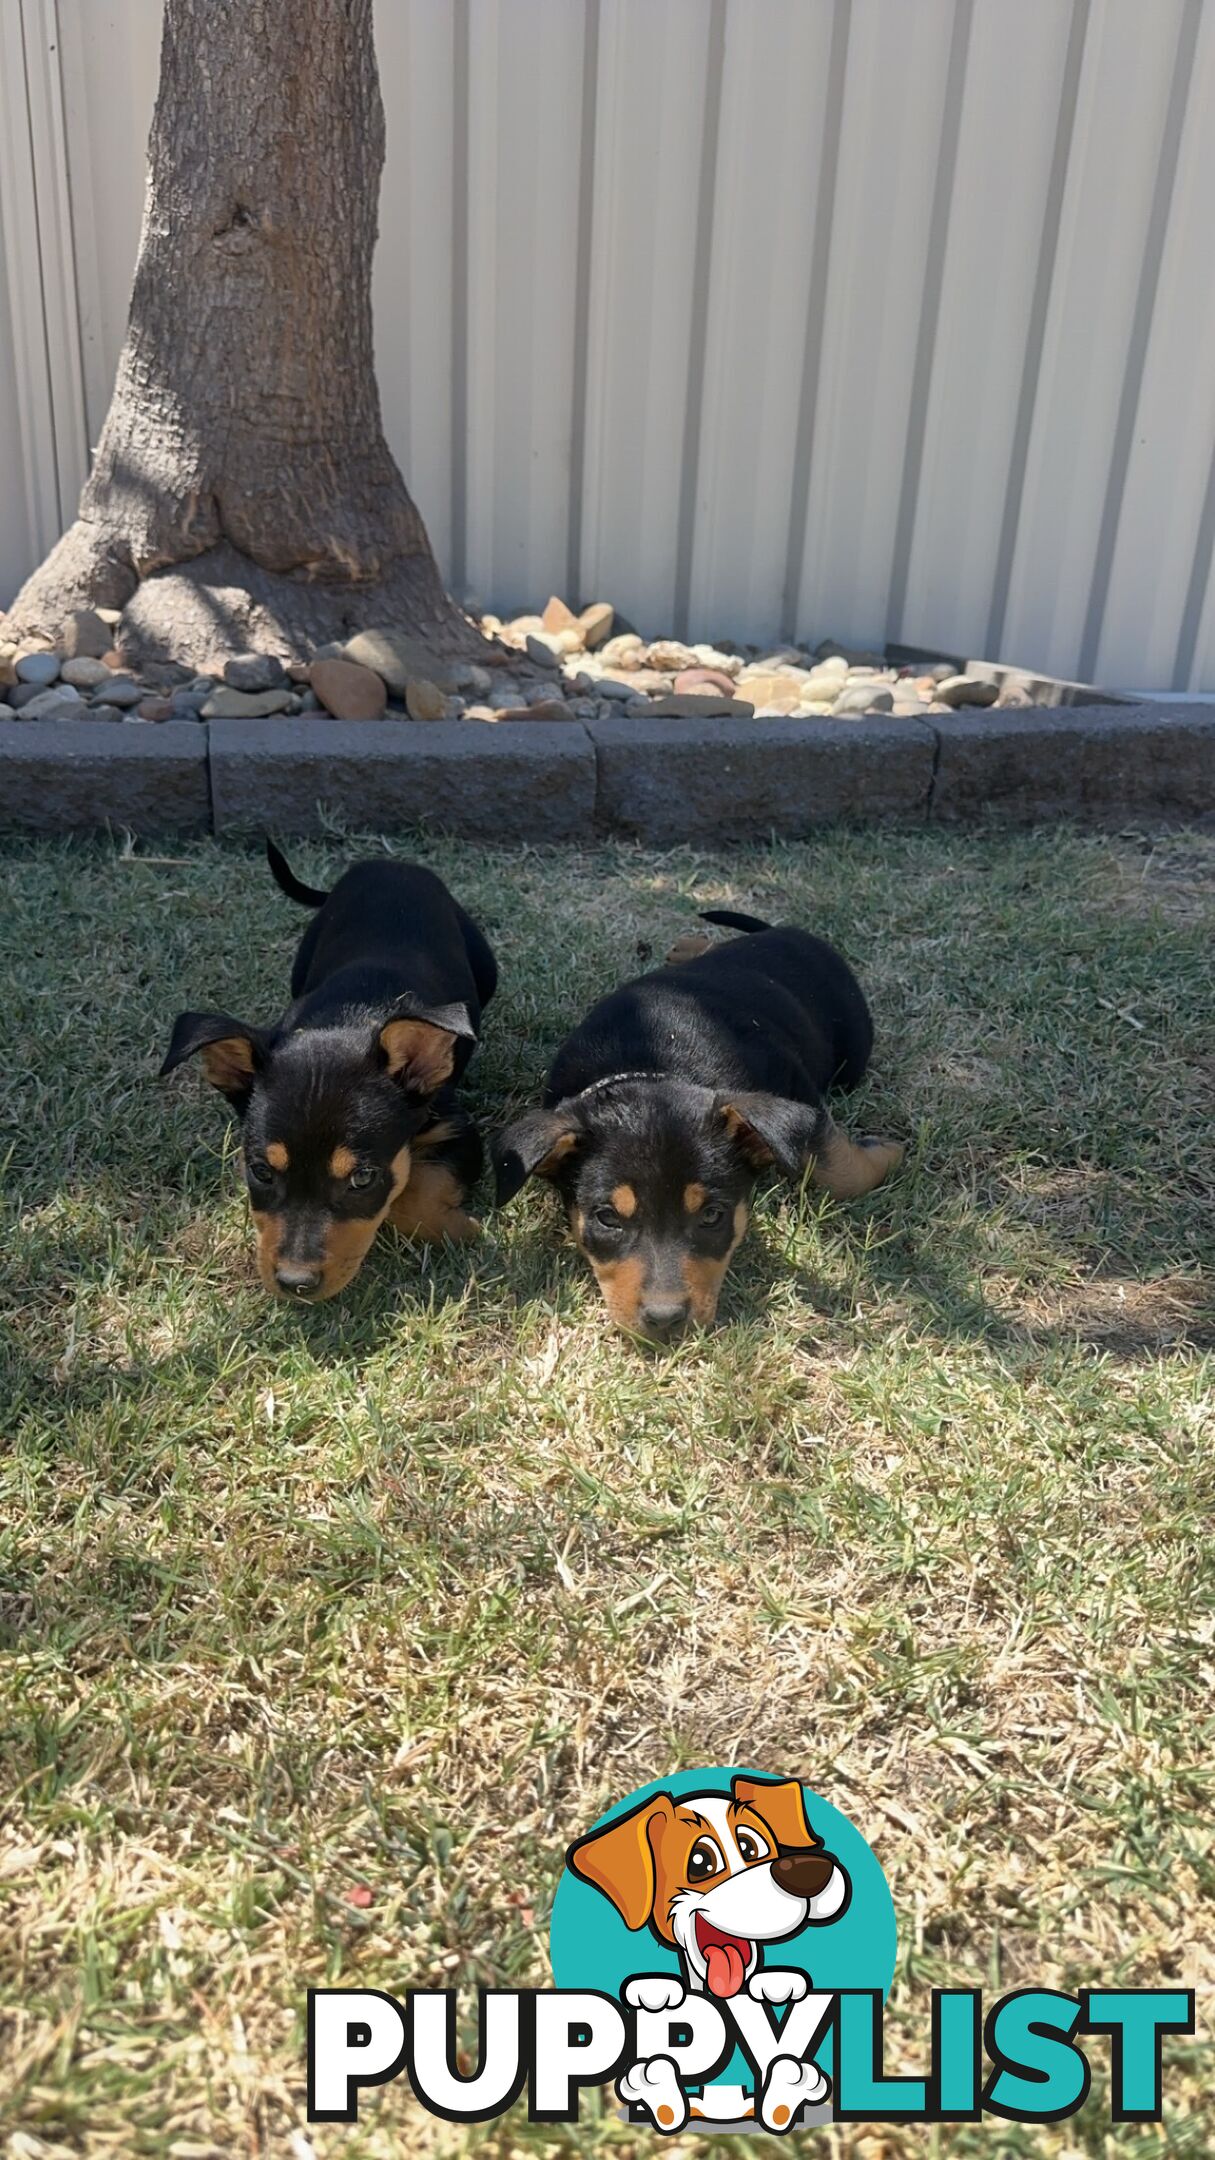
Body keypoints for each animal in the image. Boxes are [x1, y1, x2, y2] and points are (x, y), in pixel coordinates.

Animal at [163, 842, 495, 1296]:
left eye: (362, 1179)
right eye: (261, 1171)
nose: (295, 1283)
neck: (350, 1017)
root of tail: (389, 863)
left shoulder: (458, 1130)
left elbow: (414, 1195)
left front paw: (461, 1229)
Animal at [488, 907, 899, 1339]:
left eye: (712, 1215)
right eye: (607, 1218)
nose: (665, 1320)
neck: (654, 1061)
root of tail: (794, 935)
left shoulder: (796, 1083)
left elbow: (834, 1168)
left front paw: (888, 1154)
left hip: (850, 1055)